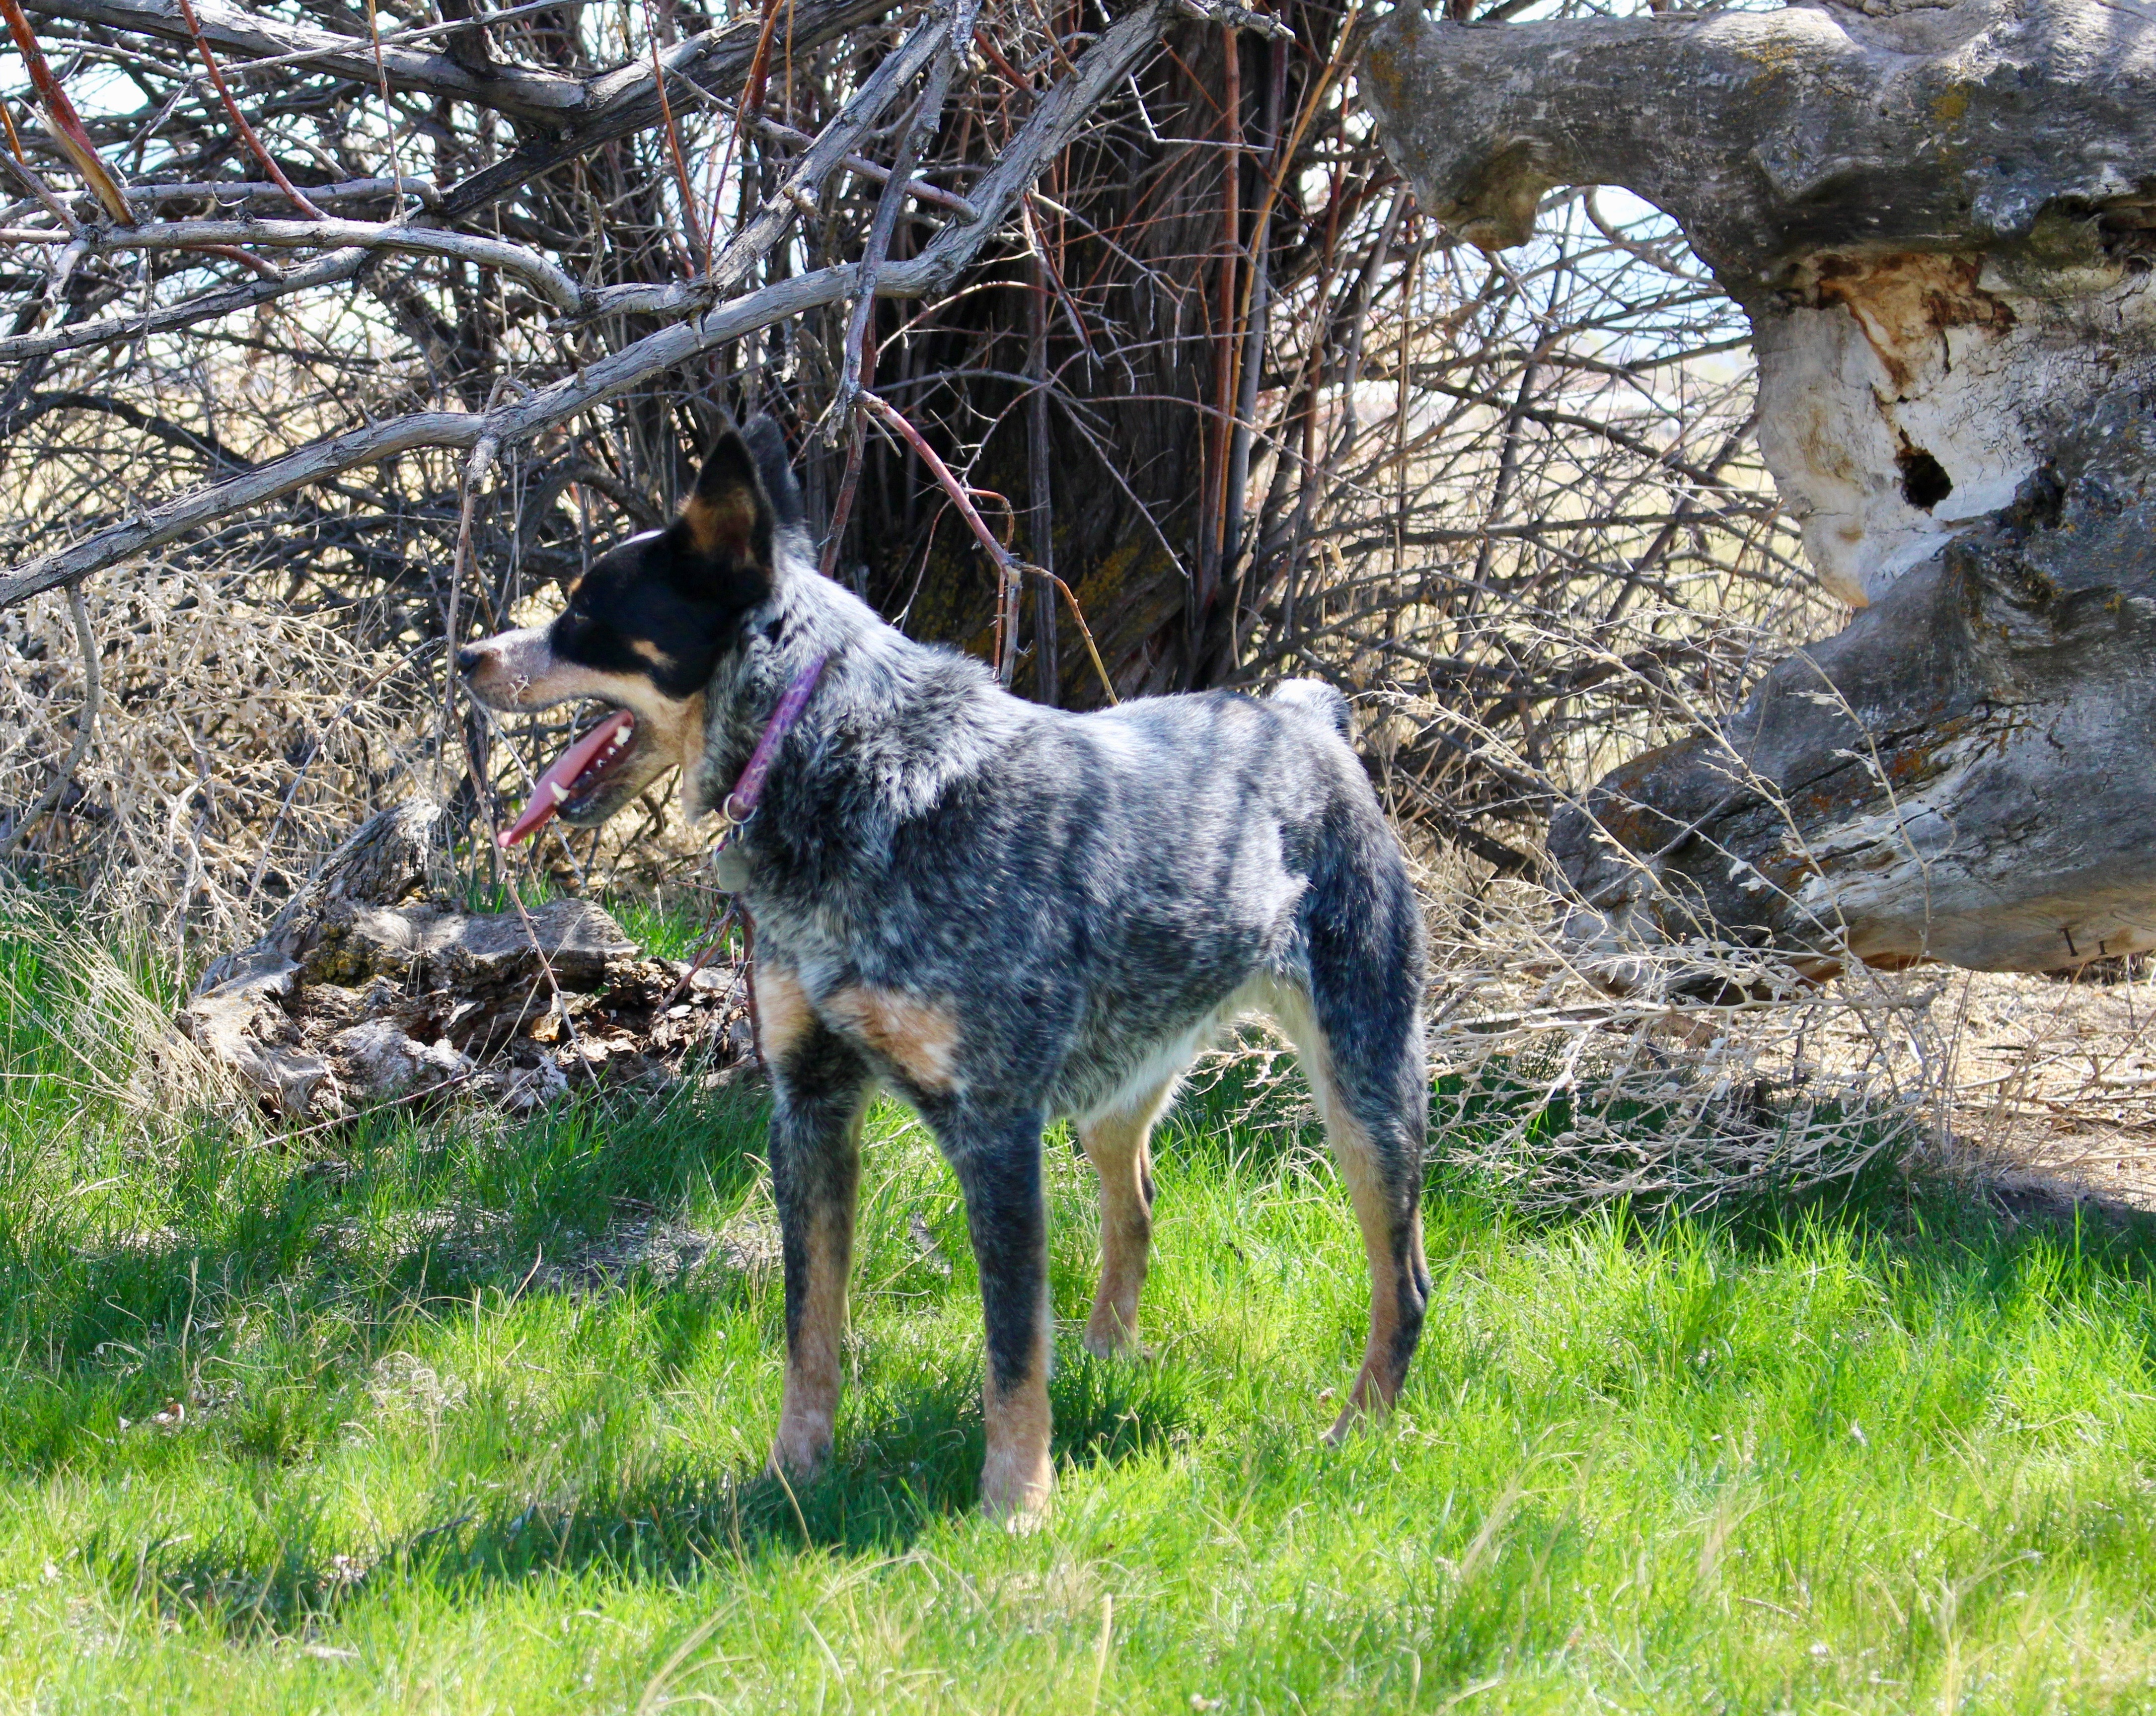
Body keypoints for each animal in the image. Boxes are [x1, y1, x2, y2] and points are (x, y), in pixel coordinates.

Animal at [459, 416, 1431, 1517]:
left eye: (585, 612)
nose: (462, 654)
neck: (849, 766)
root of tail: (1305, 717)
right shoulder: (808, 1106)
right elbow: (809, 1330)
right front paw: (791, 1476)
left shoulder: (994, 1127)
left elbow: (1011, 1347)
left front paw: (1016, 1505)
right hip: (1118, 1084)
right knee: (1136, 1203)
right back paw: (1105, 1357)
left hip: (1367, 1089)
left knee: (1402, 1283)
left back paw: (1353, 1434)